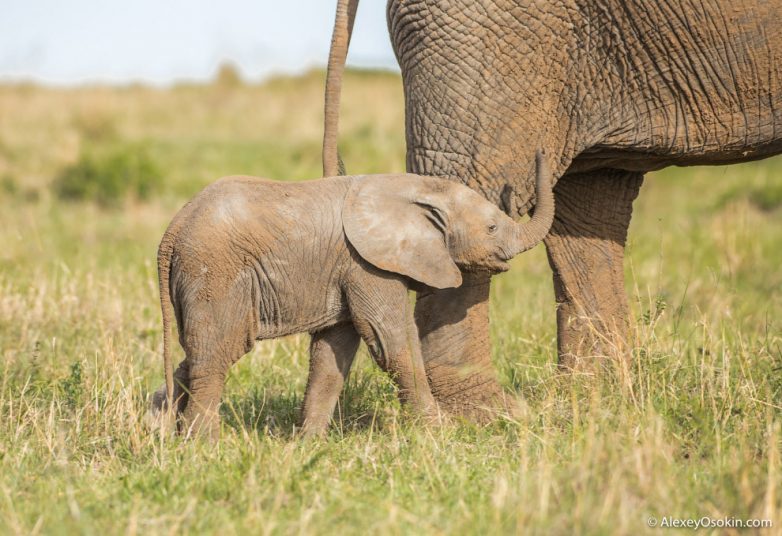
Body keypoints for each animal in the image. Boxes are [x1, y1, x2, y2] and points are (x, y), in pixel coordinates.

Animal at [155, 150, 556, 436]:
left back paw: (167, 432)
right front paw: (440, 433)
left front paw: (309, 444)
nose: (541, 153)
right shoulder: (367, 265)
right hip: (216, 275)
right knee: (216, 355)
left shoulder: (344, 271)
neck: (417, 188)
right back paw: (202, 445)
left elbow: (332, 354)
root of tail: (171, 232)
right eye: (491, 228)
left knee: (193, 357)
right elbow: (391, 341)